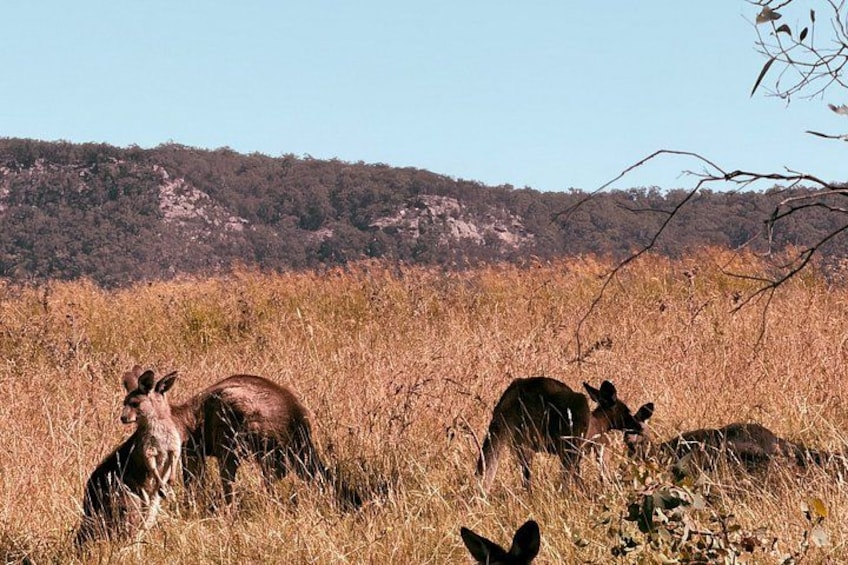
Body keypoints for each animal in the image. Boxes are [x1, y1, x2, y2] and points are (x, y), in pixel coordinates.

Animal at [75, 369, 182, 546]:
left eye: (135, 404)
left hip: (149, 507)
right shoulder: (147, 449)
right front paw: (163, 485)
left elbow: (172, 462)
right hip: (129, 501)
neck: (156, 423)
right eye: (124, 403)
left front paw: (170, 484)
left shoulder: (174, 445)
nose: (123, 418)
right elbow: (152, 466)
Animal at [120, 369, 361, 510]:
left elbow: (192, 478)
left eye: (135, 403)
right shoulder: (192, 450)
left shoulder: (190, 448)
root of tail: (296, 419)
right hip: (286, 452)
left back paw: (232, 510)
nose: (122, 418)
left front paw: (191, 506)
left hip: (235, 431)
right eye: (125, 402)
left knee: (243, 478)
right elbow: (194, 479)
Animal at [476, 377, 654, 492]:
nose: (638, 425)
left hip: (514, 438)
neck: (598, 423)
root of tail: (514, 396)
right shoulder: (585, 445)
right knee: (562, 476)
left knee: (522, 473)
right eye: (627, 412)